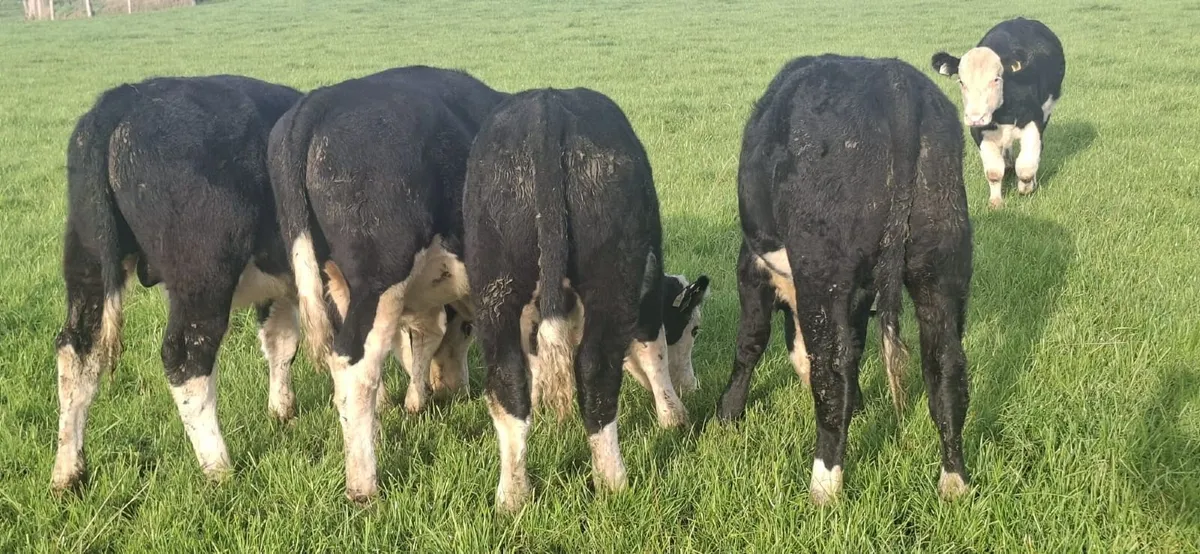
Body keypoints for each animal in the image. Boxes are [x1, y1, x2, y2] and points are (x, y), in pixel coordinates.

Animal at [52, 75, 303, 491]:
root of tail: (128, 96)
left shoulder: (281, 287)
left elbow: (281, 343)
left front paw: (282, 412)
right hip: (202, 275)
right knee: (185, 358)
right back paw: (219, 468)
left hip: (87, 260)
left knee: (78, 350)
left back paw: (67, 473)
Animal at [268, 66, 507, 502]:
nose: (455, 389)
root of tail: (320, 100)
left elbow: (423, 339)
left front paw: (417, 399)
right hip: (378, 278)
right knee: (356, 368)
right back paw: (364, 484)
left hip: (331, 283)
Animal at [463, 88, 709, 512]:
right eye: (693, 329)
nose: (691, 383)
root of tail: (547, 105)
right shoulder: (646, 285)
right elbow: (653, 350)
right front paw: (673, 415)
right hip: (612, 280)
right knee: (596, 369)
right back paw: (612, 480)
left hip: (493, 287)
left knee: (505, 376)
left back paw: (513, 494)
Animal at [716, 55, 974, 505]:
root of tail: (893, 79)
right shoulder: (861, 291)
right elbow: (853, 346)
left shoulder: (752, 266)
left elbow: (751, 341)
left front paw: (728, 412)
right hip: (941, 266)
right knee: (947, 369)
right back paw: (953, 481)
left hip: (824, 269)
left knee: (831, 374)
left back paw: (823, 486)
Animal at [931, 17, 1065, 208]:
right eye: (961, 81)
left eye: (996, 79)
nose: (975, 117)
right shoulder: (979, 130)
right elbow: (994, 172)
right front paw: (995, 202)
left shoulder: (1034, 121)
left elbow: (1026, 168)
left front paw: (1026, 188)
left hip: (1047, 111)